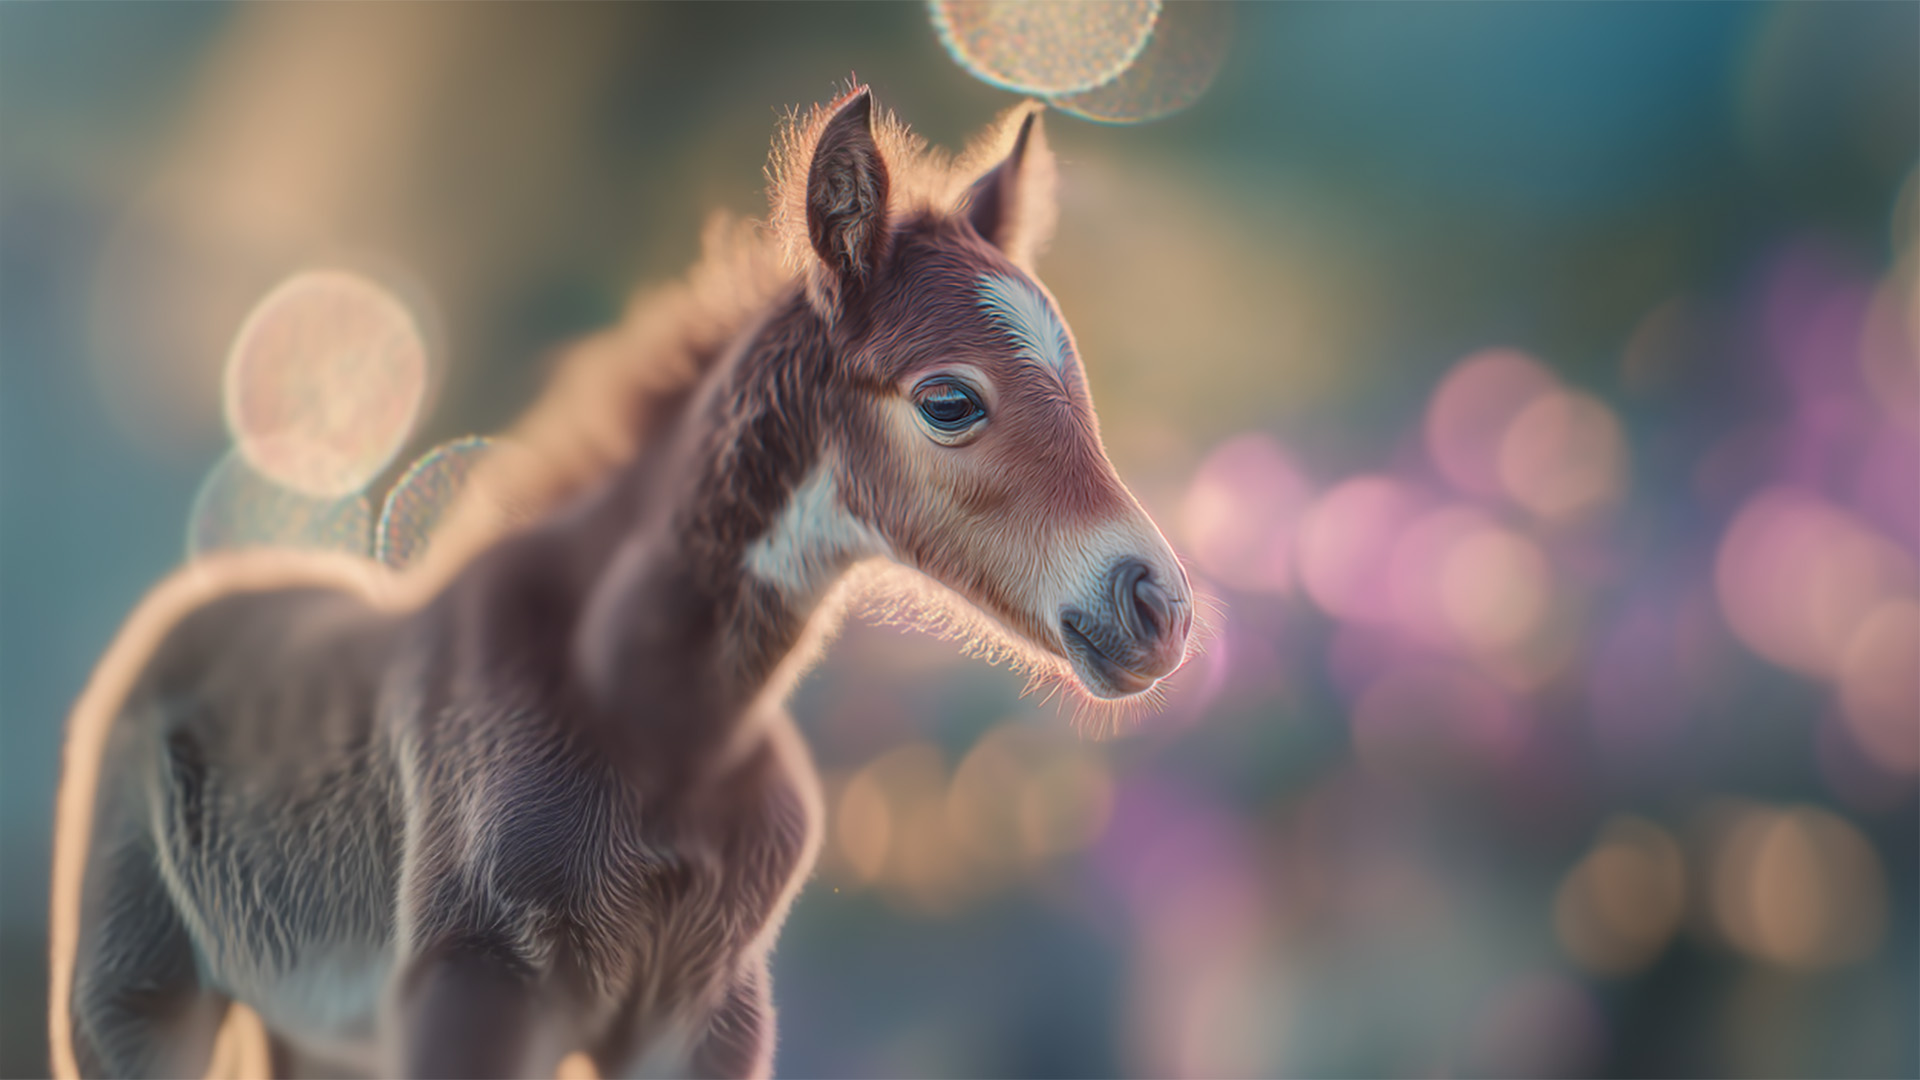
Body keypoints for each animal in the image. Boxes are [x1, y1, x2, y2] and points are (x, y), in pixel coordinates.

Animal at [49, 86, 1194, 1079]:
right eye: (950, 400)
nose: (1160, 609)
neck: (657, 722)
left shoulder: (708, 1015)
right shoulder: (470, 989)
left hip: (317, 1032)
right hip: (133, 998)